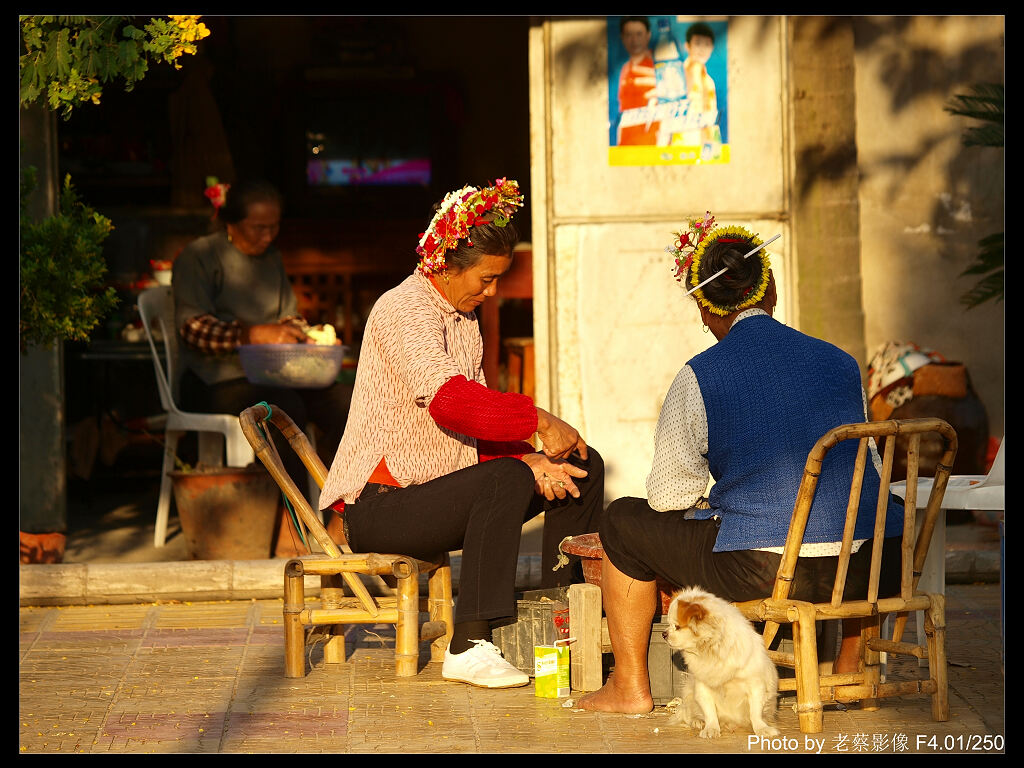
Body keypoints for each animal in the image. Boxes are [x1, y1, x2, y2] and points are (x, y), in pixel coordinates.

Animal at [659, 589, 778, 741]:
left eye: (677, 627)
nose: (664, 634)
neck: (712, 652)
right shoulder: (702, 688)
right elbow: (709, 712)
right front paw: (711, 728)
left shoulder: (755, 685)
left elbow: (755, 712)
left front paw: (761, 729)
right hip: (689, 691)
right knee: (689, 712)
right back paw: (698, 721)